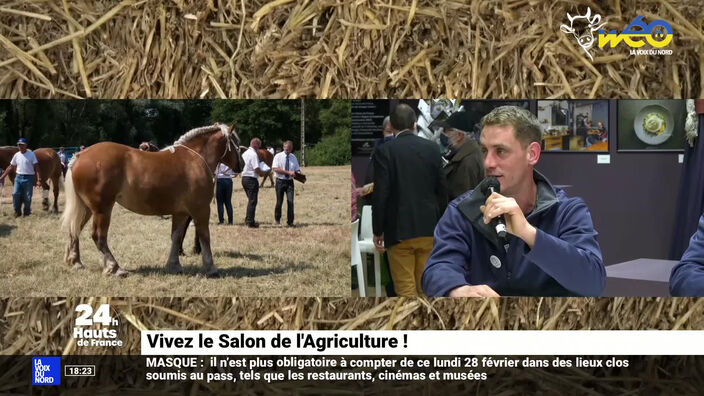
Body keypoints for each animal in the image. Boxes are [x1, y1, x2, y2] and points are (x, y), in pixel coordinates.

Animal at [63, 125, 245, 276]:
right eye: (236, 143)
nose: (242, 165)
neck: (195, 160)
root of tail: (80, 155)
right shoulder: (200, 210)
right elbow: (204, 236)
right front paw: (211, 267)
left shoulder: (181, 212)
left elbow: (176, 236)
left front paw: (174, 265)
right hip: (102, 209)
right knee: (98, 236)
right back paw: (114, 268)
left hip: (87, 209)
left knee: (74, 230)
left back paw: (76, 262)